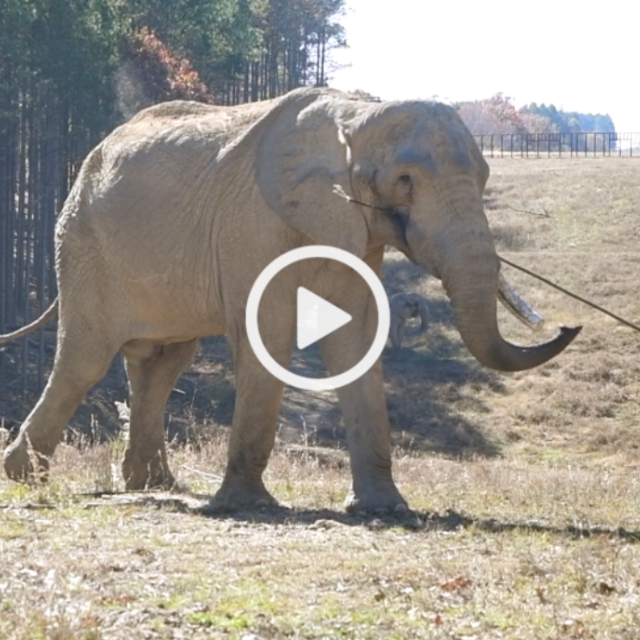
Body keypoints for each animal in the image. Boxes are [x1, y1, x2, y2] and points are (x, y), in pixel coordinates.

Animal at [0, 88, 581, 512]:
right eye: (404, 181)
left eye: (484, 179)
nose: (569, 326)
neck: (356, 116)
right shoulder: (253, 224)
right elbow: (268, 332)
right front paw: (247, 506)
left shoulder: (357, 232)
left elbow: (356, 338)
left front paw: (385, 509)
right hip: (83, 244)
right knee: (85, 360)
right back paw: (25, 479)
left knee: (162, 364)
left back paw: (154, 486)